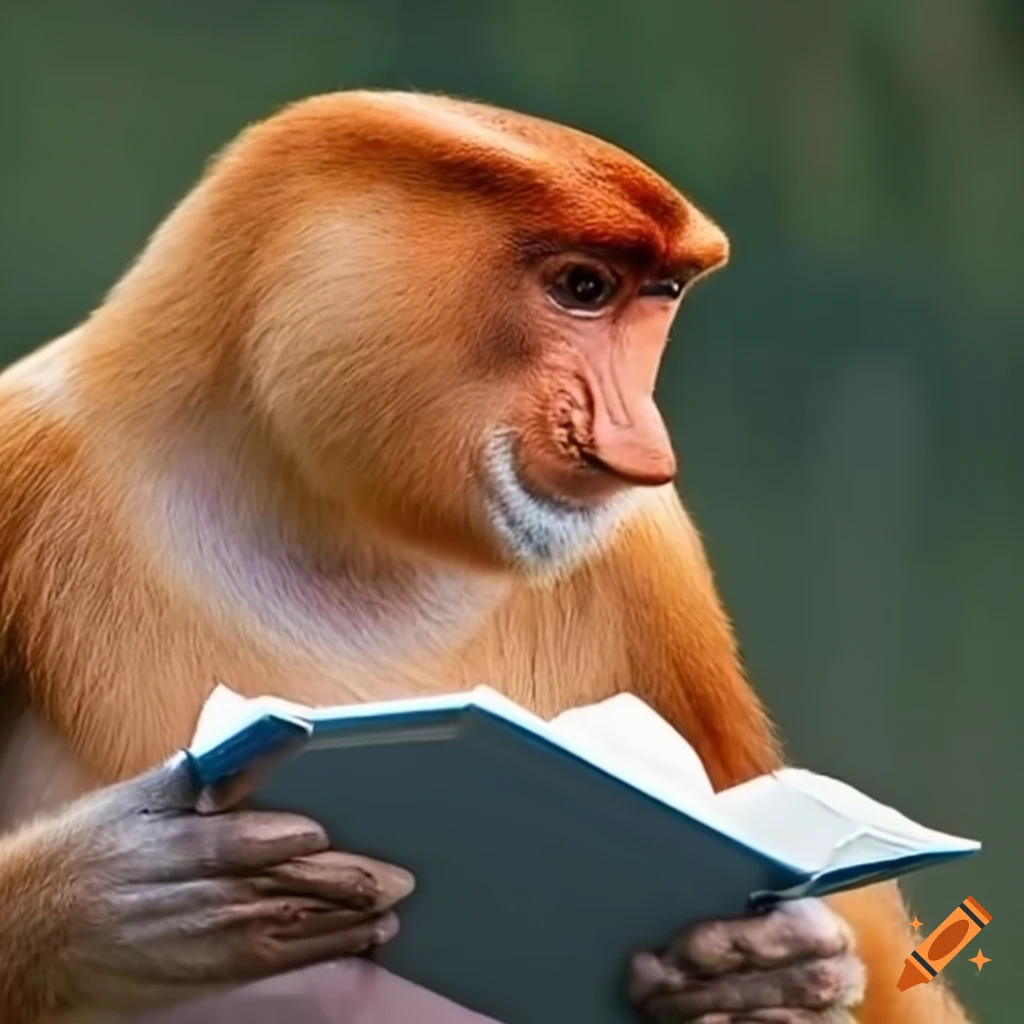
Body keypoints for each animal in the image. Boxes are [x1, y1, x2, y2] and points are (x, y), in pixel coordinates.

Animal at [0, 90, 973, 1024]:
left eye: (659, 294)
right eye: (584, 287)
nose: (642, 444)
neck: (340, 527)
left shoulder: (650, 552)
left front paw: (771, 967)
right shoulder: (23, 455)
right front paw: (120, 890)